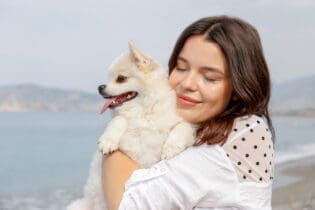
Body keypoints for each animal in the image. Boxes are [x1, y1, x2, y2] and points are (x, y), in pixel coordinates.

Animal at [66, 41, 195, 210]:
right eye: (110, 78)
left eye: (121, 78)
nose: (100, 87)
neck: (143, 111)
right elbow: (120, 119)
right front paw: (108, 140)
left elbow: (183, 126)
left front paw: (171, 147)